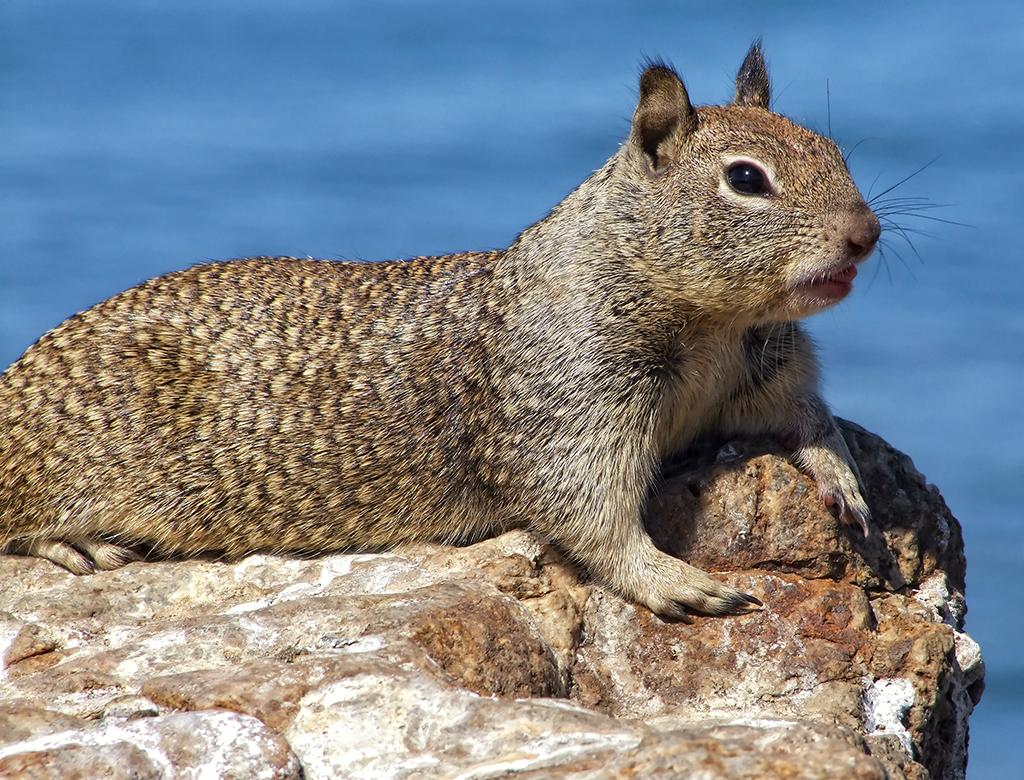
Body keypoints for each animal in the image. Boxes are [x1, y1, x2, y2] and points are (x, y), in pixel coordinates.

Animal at [0, 43, 879, 619]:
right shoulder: (569, 402)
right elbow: (586, 511)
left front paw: (839, 473)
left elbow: (804, 416)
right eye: (746, 180)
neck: (714, 324)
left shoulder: (765, 368)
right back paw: (76, 546)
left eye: (836, 149)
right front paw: (672, 579)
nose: (866, 234)